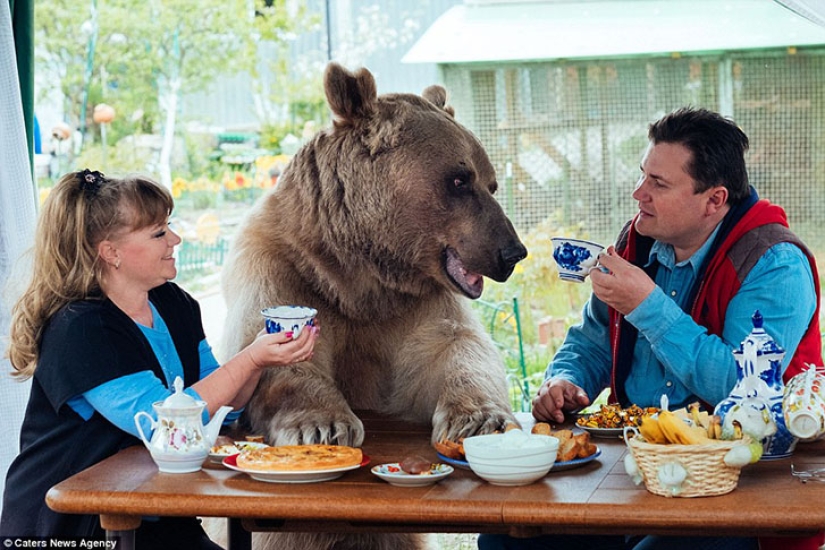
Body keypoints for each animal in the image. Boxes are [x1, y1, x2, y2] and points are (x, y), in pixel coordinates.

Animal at [220, 63, 527, 549]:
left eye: (491, 181)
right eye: (459, 179)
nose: (512, 252)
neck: (359, 275)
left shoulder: (415, 306)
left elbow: (455, 349)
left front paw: (480, 420)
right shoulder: (282, 268)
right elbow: (272, 353)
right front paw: (324, 425)